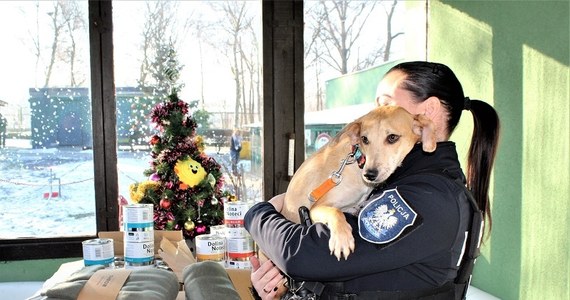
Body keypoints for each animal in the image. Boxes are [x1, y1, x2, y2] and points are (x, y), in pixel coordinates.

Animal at [280, 105, 434, 260]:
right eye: (364, 139)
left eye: (392, 137)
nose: (369, 174)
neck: (358, 161)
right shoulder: (316, 207)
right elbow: (336, 212)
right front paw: (341, 238)